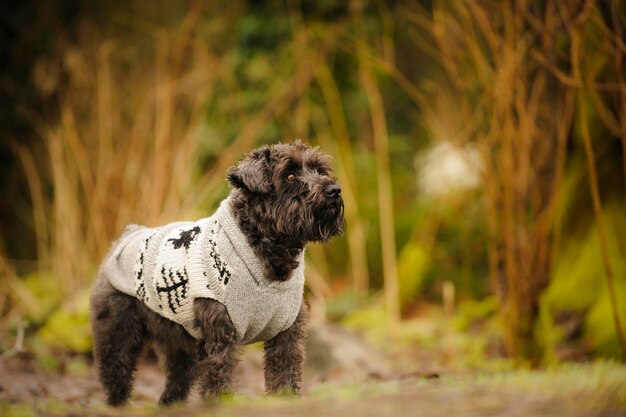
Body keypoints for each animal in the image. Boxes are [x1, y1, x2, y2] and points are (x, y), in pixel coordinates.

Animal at [89, 141, 344, 404]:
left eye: (320, 170)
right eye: (290, 176)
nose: (334, 189)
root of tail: (126, 236)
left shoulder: (287, 333)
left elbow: (285, 374)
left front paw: (284, 401)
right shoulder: (219, 335)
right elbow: (217, 379)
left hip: (177, 345)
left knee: (175, 384)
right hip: (117, 334)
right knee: (116, 376)